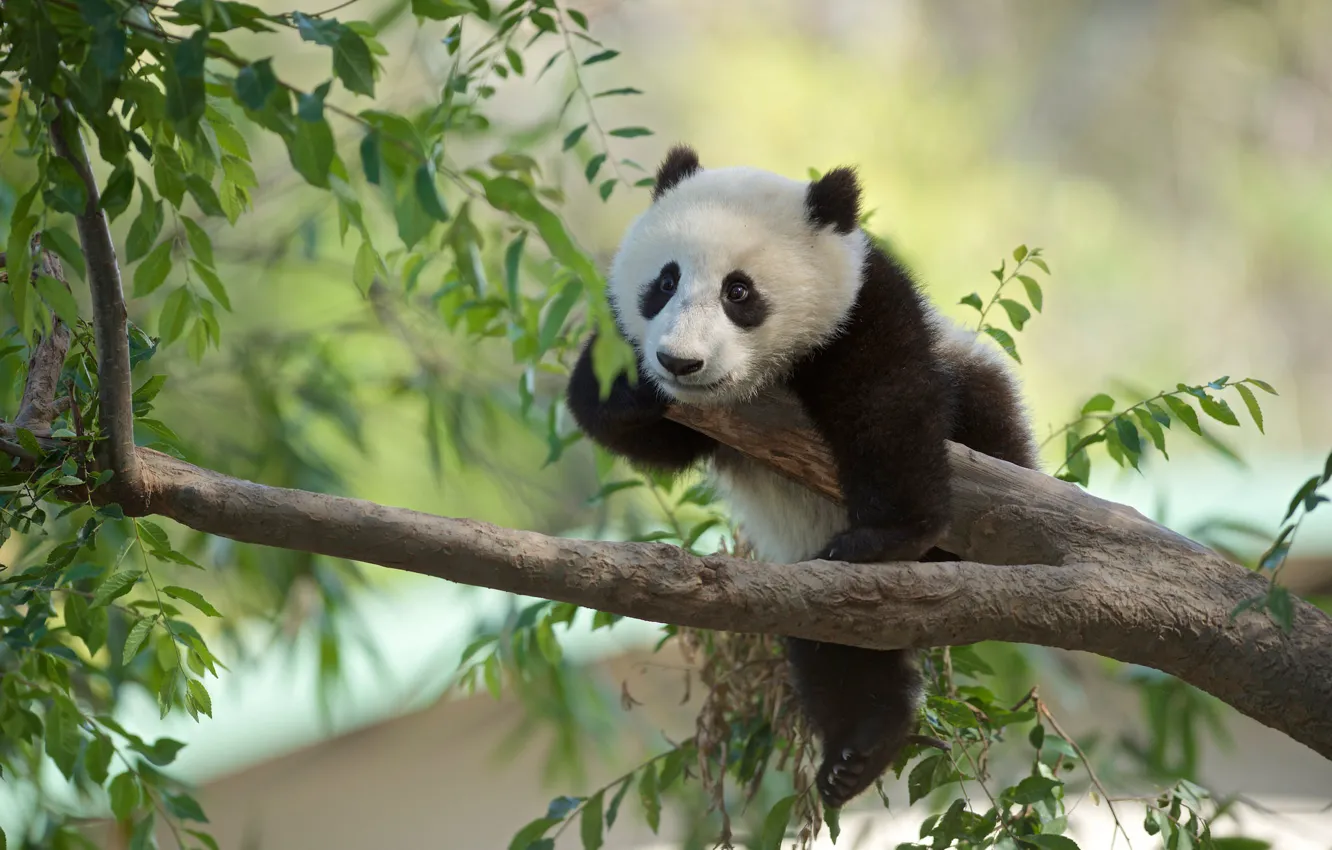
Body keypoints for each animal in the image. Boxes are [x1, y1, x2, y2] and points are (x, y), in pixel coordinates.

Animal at [565, 144, 1038, 809]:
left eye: (739, 291)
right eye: (665, 281)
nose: (679, 361)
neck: (765, 376)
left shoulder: (863, 308)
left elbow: (885, 403)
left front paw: (887, 534)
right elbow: (645, 431)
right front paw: (622, 384)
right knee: (835, 646)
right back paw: (859, 747)